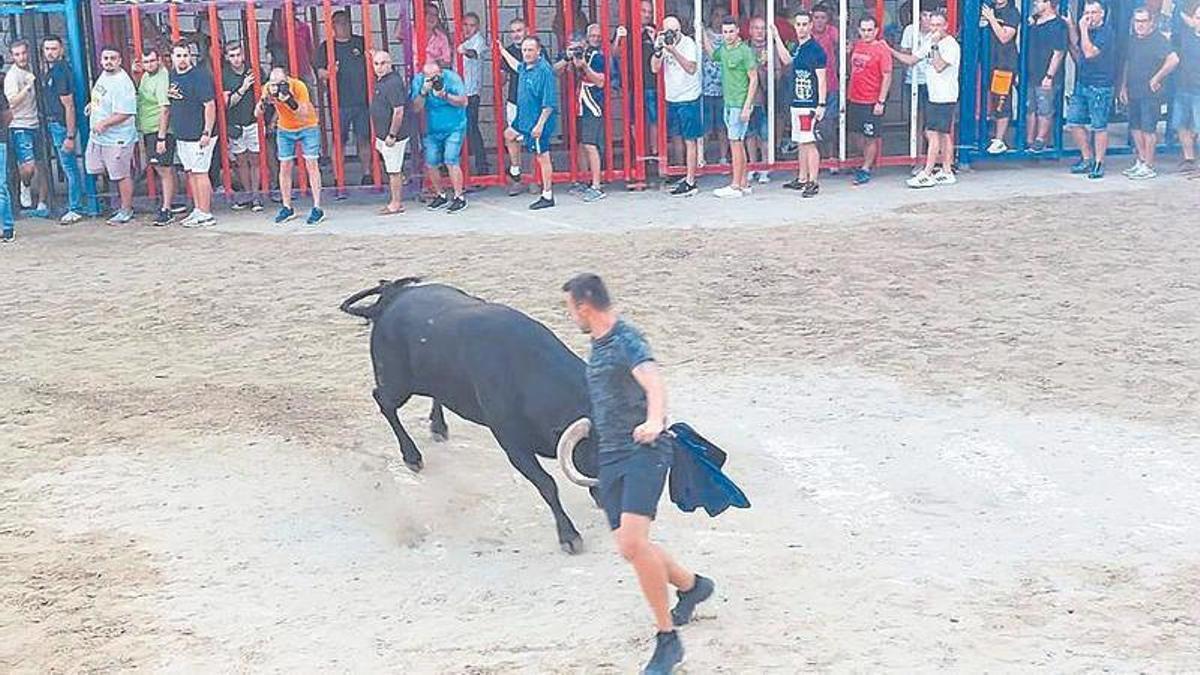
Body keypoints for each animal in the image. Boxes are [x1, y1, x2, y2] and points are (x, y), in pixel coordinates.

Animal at [338, 278, 600, 552]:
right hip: (397, 383)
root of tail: (391, 295)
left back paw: (438, 428)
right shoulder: (513, 445)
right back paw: (412, 456)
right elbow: (547, 484)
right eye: (599, 453)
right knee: (383, 400)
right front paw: (569, 536)